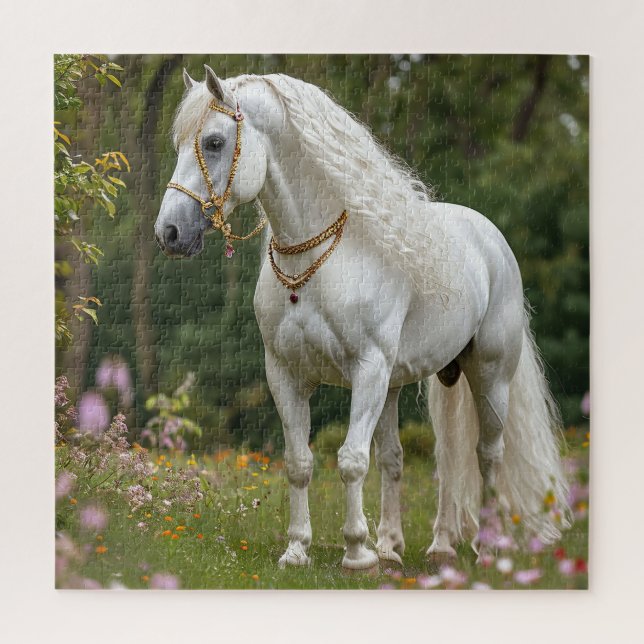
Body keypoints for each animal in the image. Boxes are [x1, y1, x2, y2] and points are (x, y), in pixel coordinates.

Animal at [154, 65, 571, 570]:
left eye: (214, 142)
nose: (169, 232)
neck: (318, 263)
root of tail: (492, 241)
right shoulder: (285, 374)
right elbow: (300, 463)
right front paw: (298, 550)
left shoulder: (367, 370)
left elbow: (351, 459)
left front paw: (356, 552)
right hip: (403, 384)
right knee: (421, 458)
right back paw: (409, 546)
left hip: (488, 377)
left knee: (486, 455)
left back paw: (486, 547)